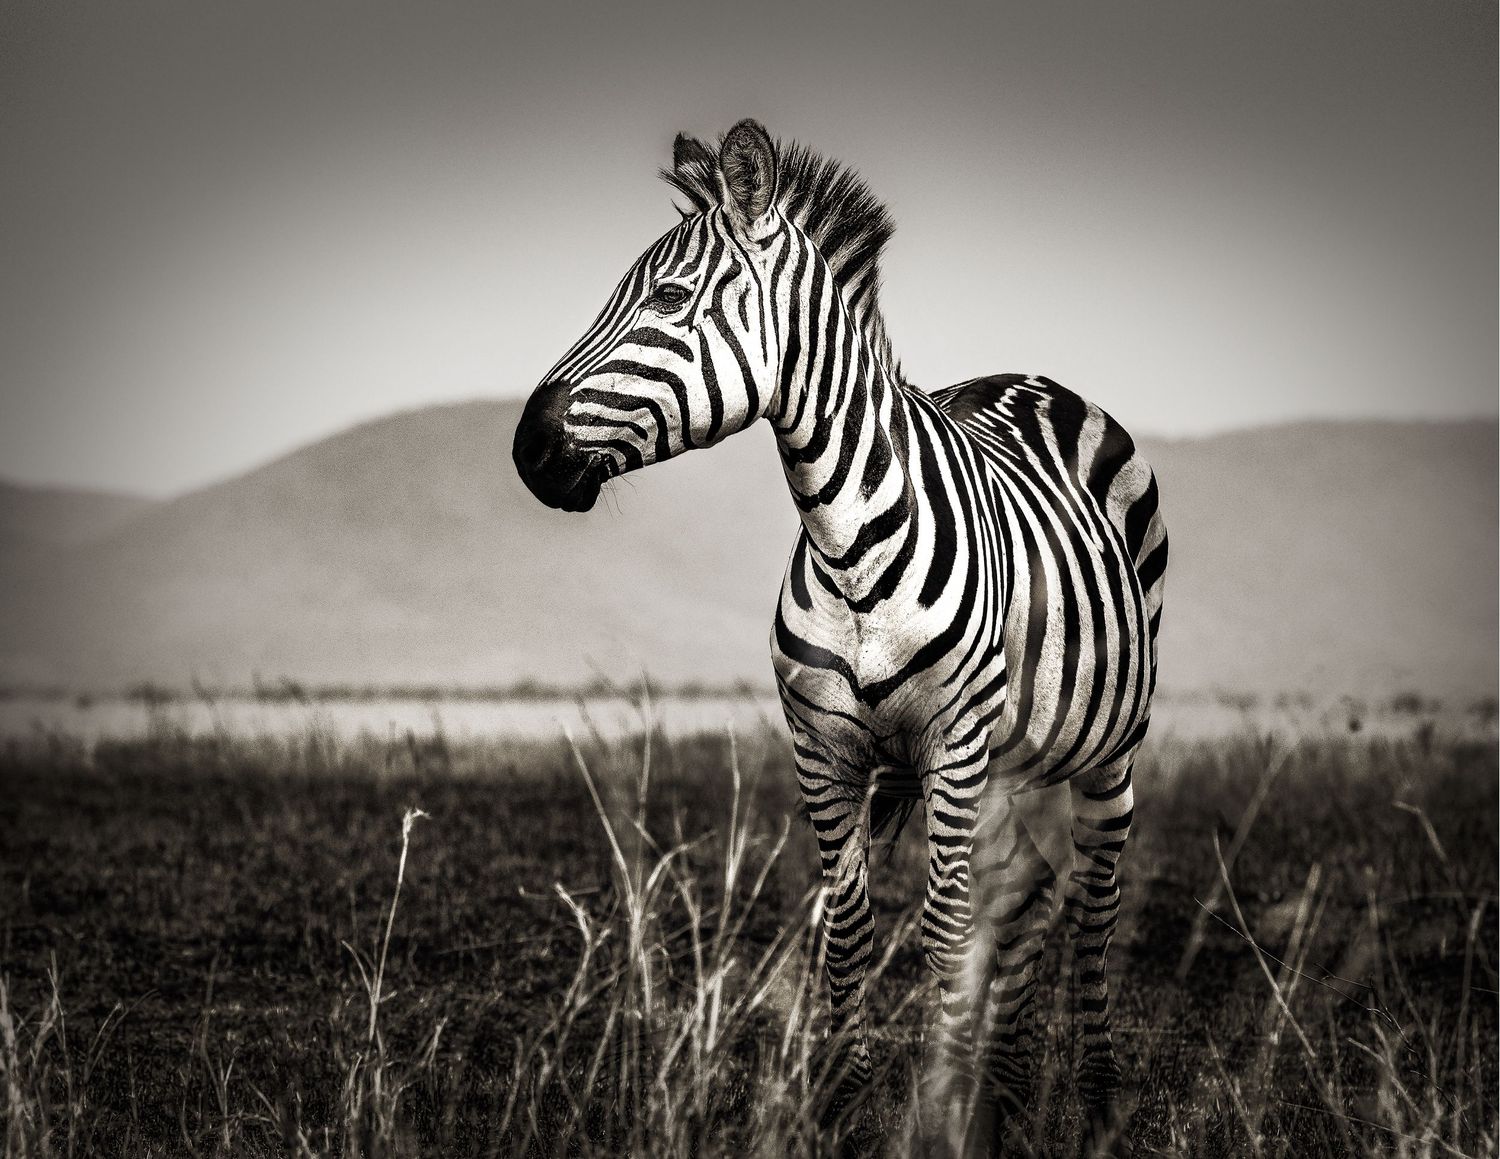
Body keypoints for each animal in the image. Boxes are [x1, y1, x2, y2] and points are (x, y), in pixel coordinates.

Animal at [512, 119, 1167, 1155]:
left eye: (667, 298)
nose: (527, 450)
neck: (847, 535)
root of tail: (1034, 377)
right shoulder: (821, 745)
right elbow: (850, 922)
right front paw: (848, 1105)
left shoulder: (951, 744)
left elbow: (944, 926)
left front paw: (940, 1110)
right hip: (1015, 763)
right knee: (1032, 892)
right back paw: (1009, 1092)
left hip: (1105, 753)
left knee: (1094, 902)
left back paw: (1093, 1100)